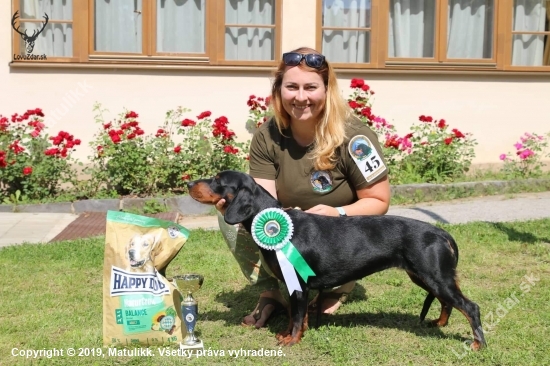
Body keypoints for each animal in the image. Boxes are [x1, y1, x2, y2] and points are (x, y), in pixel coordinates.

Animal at [188, 171, 486, 348]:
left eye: (218, 180)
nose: (189, 183)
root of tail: (441, 232)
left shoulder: (298, 285)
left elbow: (297, 316)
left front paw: (291, 340)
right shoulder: (295, 286)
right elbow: (296, 316)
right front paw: (289, 333)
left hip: (434, 276)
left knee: (470, 307)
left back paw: (477, 344)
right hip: (425, 277)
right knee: (448, 302)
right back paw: (439, 324)